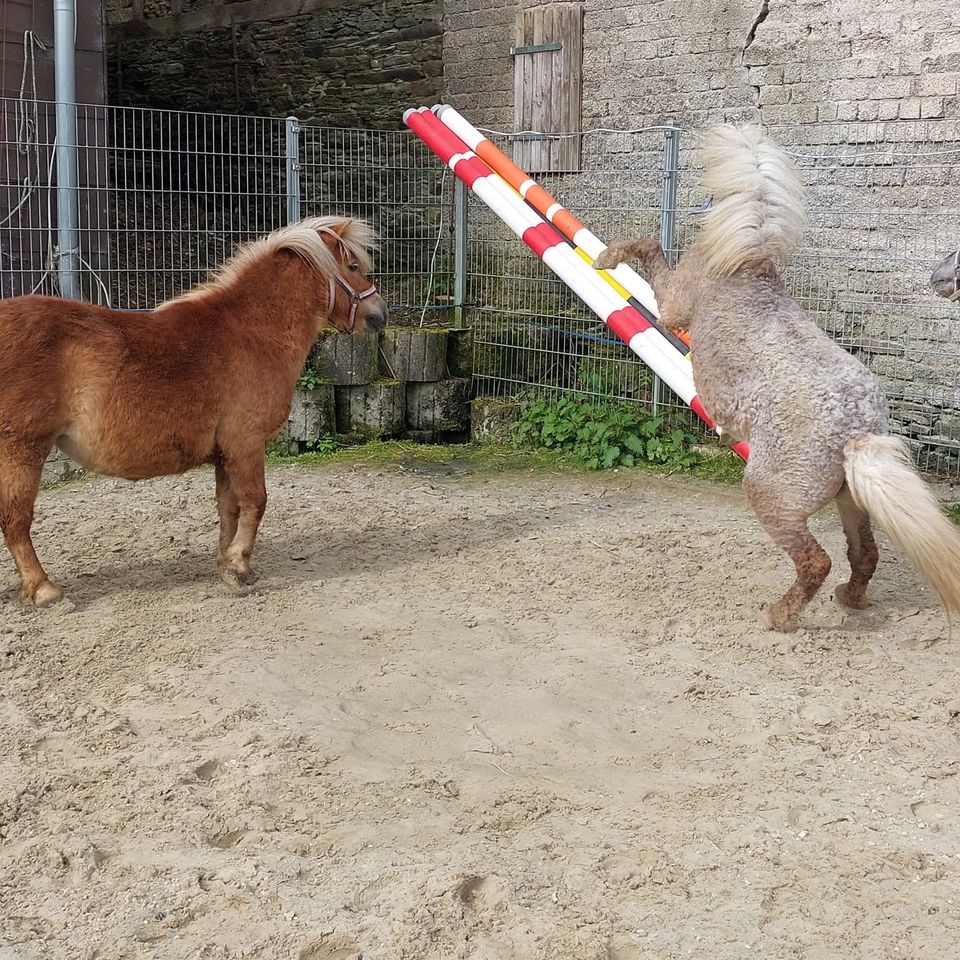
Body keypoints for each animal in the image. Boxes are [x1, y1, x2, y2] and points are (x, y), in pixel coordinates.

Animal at [1, 218, 390, 608]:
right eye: (353, 267)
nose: (380, 313)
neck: (251, 332)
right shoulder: (246, 443)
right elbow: (255, 501)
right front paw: (238, 568)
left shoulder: (225, 452)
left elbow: (228, 507)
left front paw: (226, 562)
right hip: (22, 450)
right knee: (16, 519)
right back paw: (44, 590)